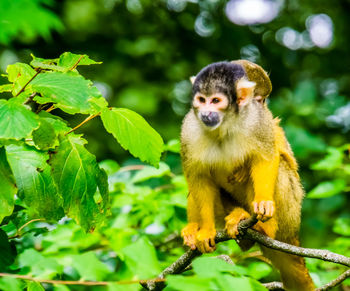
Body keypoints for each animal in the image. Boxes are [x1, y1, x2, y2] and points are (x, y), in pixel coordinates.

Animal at [180, 60, 314, 290]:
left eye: (216, 101)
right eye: (202, 100)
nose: (206, 113)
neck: (225, 124)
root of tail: (292, 237)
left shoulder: (258, 121)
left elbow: (268, 156)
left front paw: (262, 201)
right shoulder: (189, 129)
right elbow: (198, 176)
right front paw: (205, 230)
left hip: (290, 217)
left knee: (281, 166)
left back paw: (263, 227)